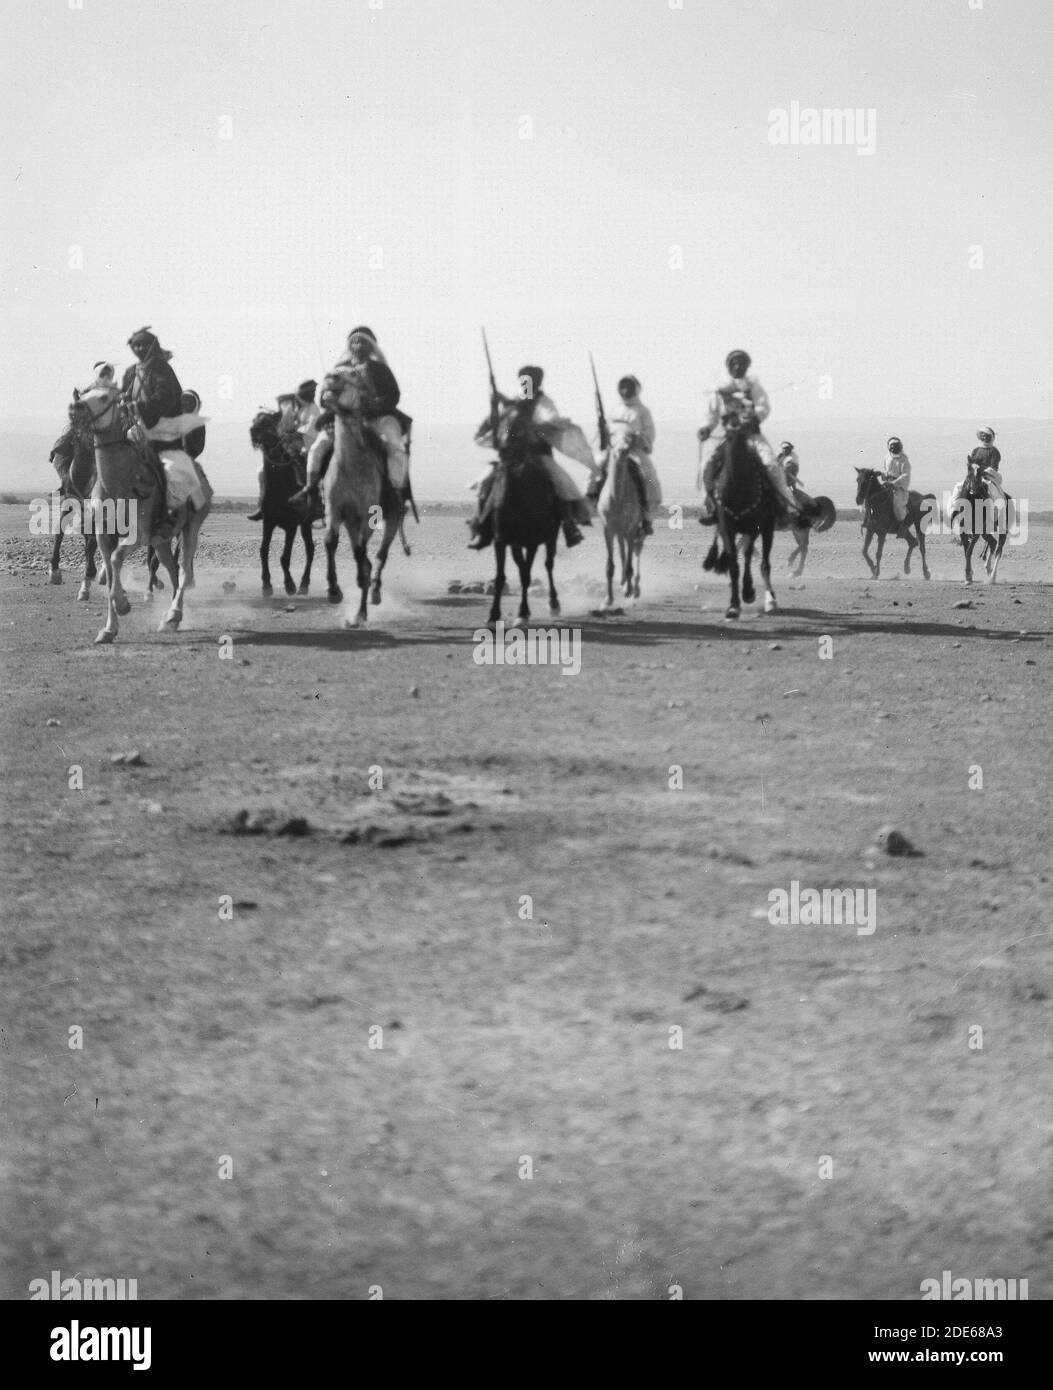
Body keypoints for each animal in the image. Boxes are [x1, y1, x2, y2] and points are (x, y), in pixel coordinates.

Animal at [250, 405, 315, 594]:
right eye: (255, 420)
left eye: (269, 421)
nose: (254, 432)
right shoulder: (268, 521)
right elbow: (263, 550)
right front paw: (266, 585)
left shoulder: (291, 525)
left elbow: (285, 556)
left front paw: (290, 585)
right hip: (306, 524)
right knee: (311, 549)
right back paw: (304, 585)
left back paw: (304, 585)